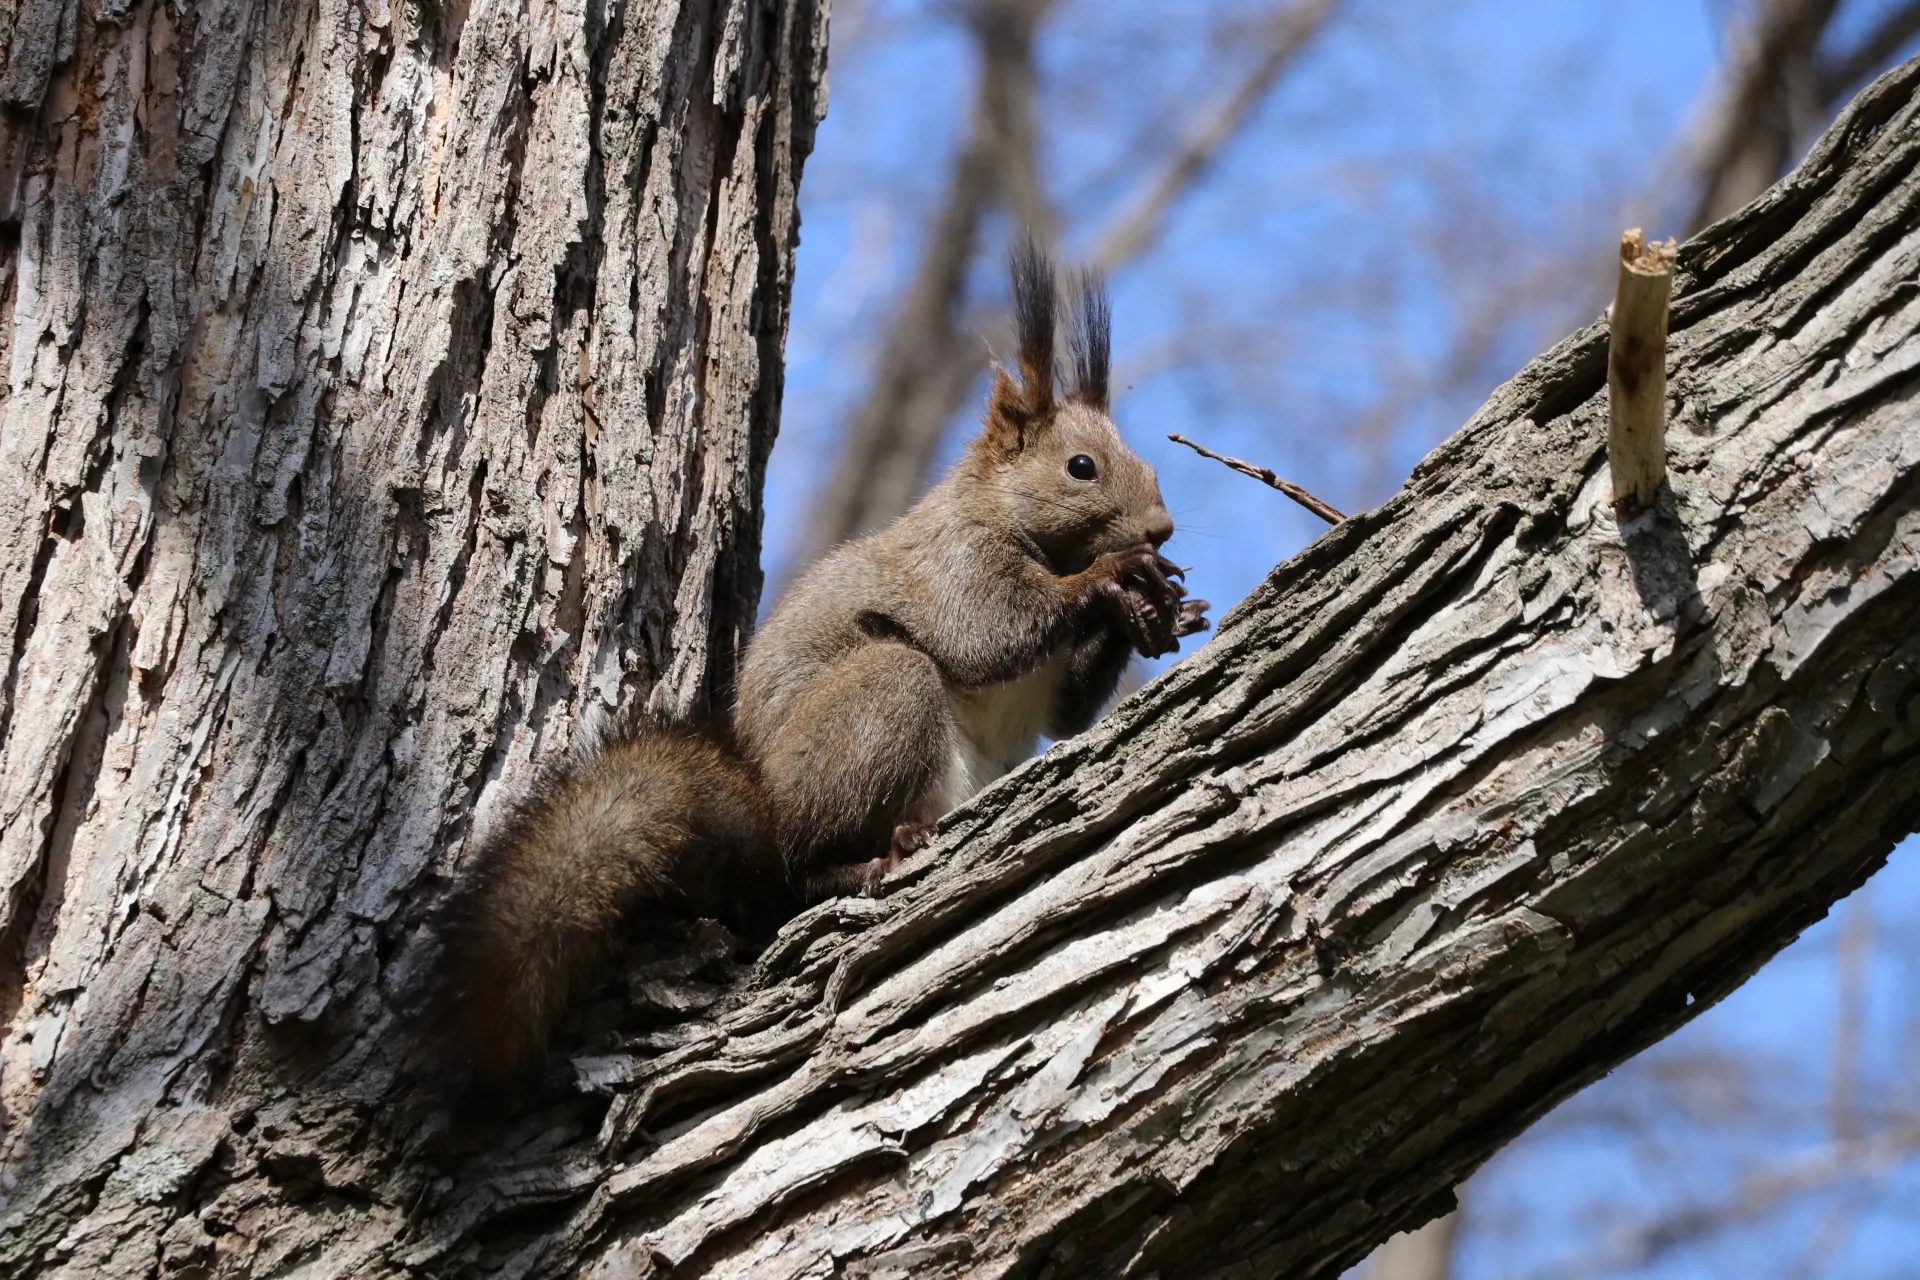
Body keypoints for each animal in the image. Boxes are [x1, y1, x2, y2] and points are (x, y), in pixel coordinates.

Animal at [422, 241, 1209, 1084]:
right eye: (1081, 467)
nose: (1161, 529)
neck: (1015, 523)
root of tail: (765, 820)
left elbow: (1065, 713)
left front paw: (1158, 615)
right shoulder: (953, 564)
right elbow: (986, 635)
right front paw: (1113, 580)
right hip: (879, 699)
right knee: (796, 875)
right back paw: (866, 861)